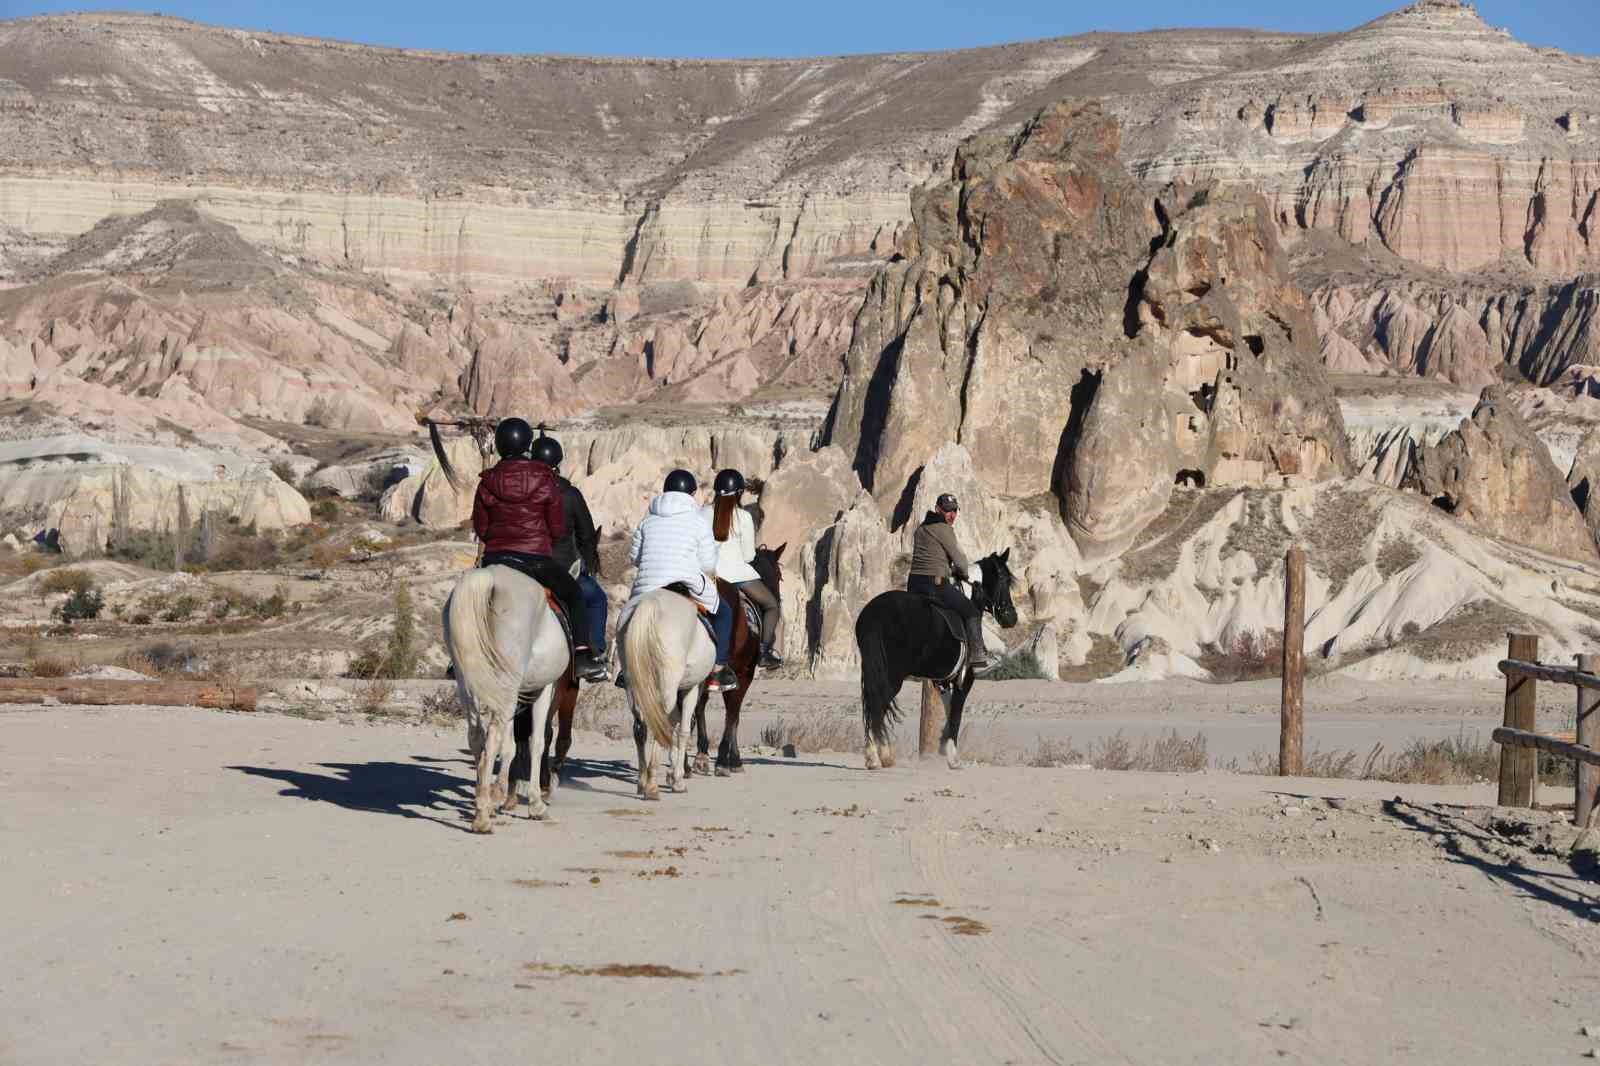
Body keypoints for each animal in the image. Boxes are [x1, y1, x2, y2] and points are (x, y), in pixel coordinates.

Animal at [448, 563, 572, 832]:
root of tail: (490, 578)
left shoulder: (513, 695)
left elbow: (512, 745)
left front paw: (499, 794)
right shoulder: (543, 689)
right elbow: (537, 741)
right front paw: (535, 804)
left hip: (468, 682)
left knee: (477, 736)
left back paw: (482, 801)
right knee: (493, 737)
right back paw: (483, 818)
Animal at [620, 589, 716, 797]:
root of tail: (650, 602)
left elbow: (674, 726)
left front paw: (673, 772)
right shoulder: (692, 688)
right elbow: (684, 729)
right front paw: (677, 778)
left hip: (633, 684)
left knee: (641, 726)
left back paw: (642, 781)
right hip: (668, 684)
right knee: (660, 724)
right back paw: (652, 785)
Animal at [857, 550, 1017, 768]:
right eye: (1003, 579)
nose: (1011, 618)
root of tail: (875, 613)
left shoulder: (942, 681)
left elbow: (948, 710)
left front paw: (942, 745)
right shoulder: (964, 679)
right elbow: (956, 713)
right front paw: (952, 756)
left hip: (873, 671)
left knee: (872, 706)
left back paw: (875, 756)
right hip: (892, 676)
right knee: (878, 705)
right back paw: (879, 755)